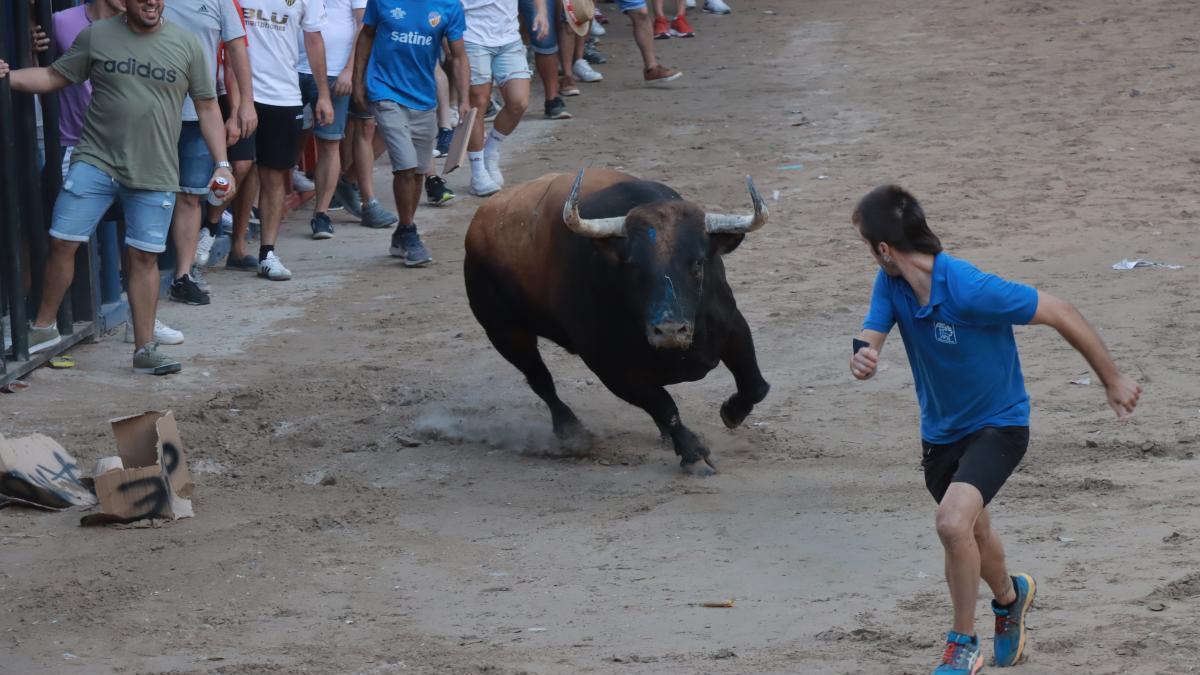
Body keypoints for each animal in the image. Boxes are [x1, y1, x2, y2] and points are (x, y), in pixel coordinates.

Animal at [458, 168, 768, 473]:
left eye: (698, 262)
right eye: (633, 265)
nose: (669, 330)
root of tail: (479, 223)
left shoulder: (733, 326)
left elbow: (755, 384)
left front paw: (731, 412)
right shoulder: (610, 369)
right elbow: (664, 405)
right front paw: (692, 452)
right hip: (505, 333)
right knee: (541, 381)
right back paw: (572, 434)